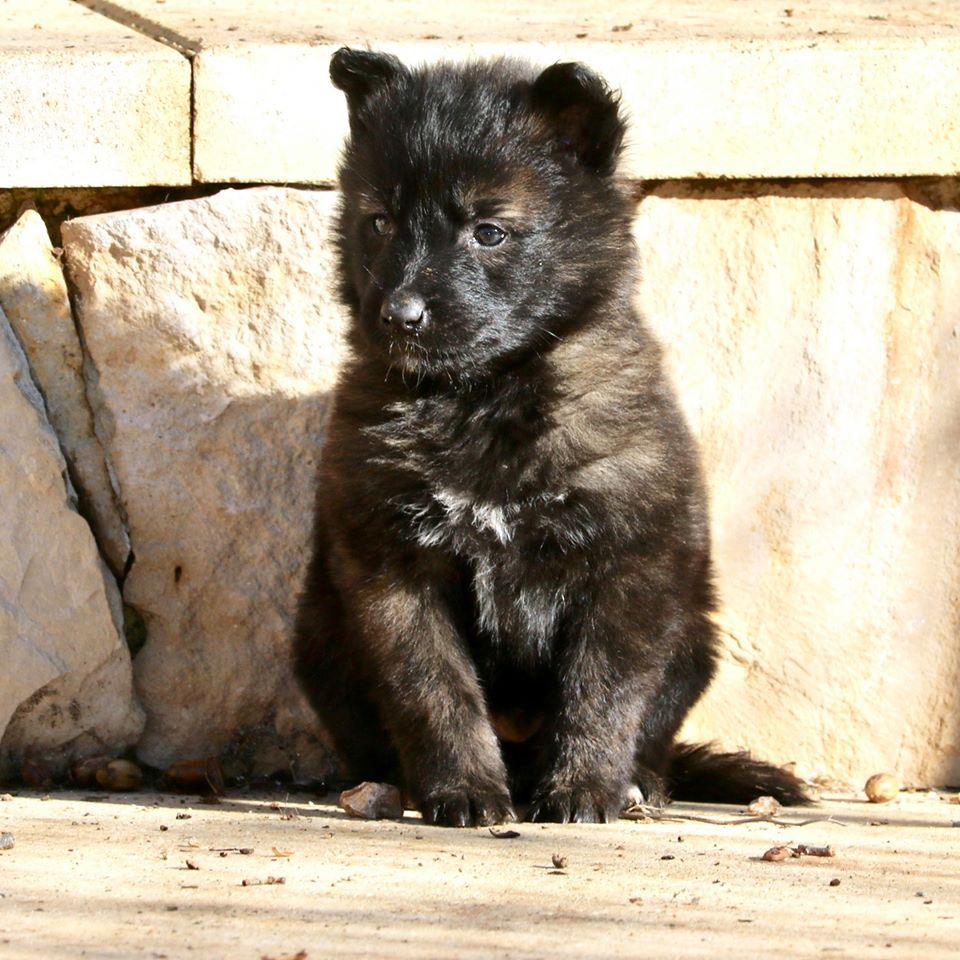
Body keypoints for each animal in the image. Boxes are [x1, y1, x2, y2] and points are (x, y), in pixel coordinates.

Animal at [294, 47, 808, 824]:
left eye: (490, 230)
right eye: (378, 222)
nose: (399, 315)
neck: (486, 398)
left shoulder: (627, 568)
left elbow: (602, 691)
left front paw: (583, 789)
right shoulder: (394, 567)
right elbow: (433, 690)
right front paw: (464, 791)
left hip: (693, 636)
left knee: (648, 733)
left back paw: (638, 783)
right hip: (322, 634)